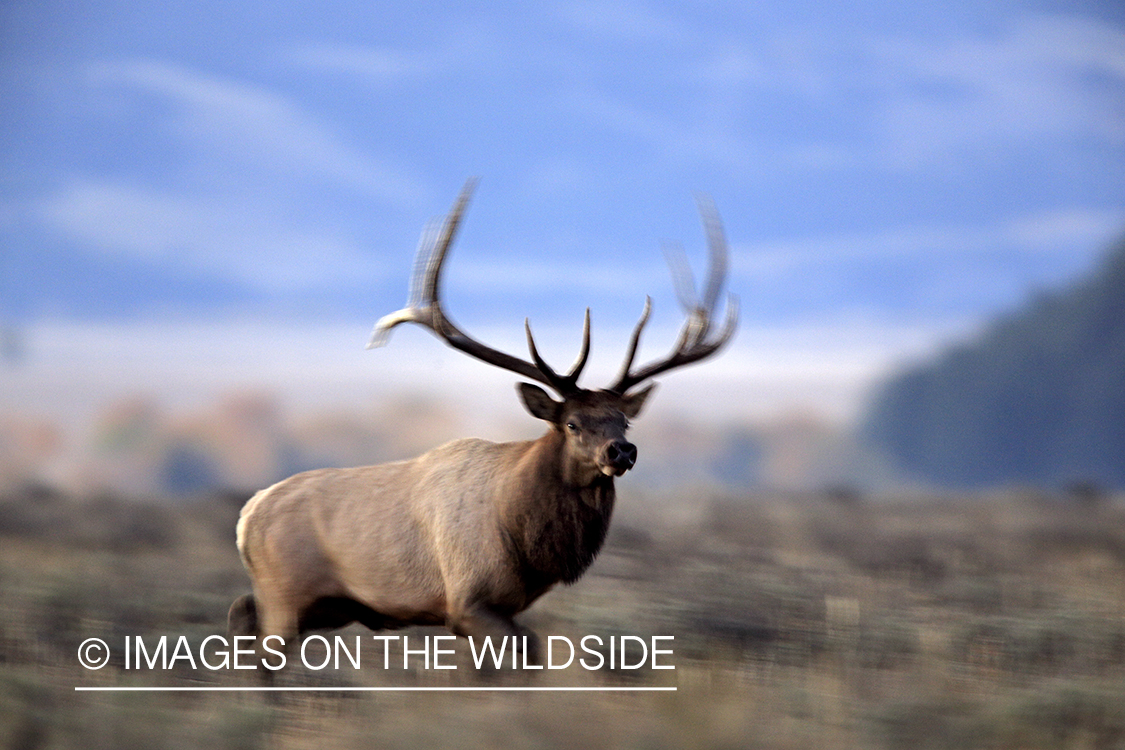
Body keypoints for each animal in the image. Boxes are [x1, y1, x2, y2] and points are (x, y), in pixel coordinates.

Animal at [228, 179, 738, 661]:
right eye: (571, 423)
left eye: (624, 422)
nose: (622, 451)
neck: (523, 540)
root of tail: (247, 517)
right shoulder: (467, 600)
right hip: (287, 593)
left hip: (323, 605)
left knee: (241, 613)